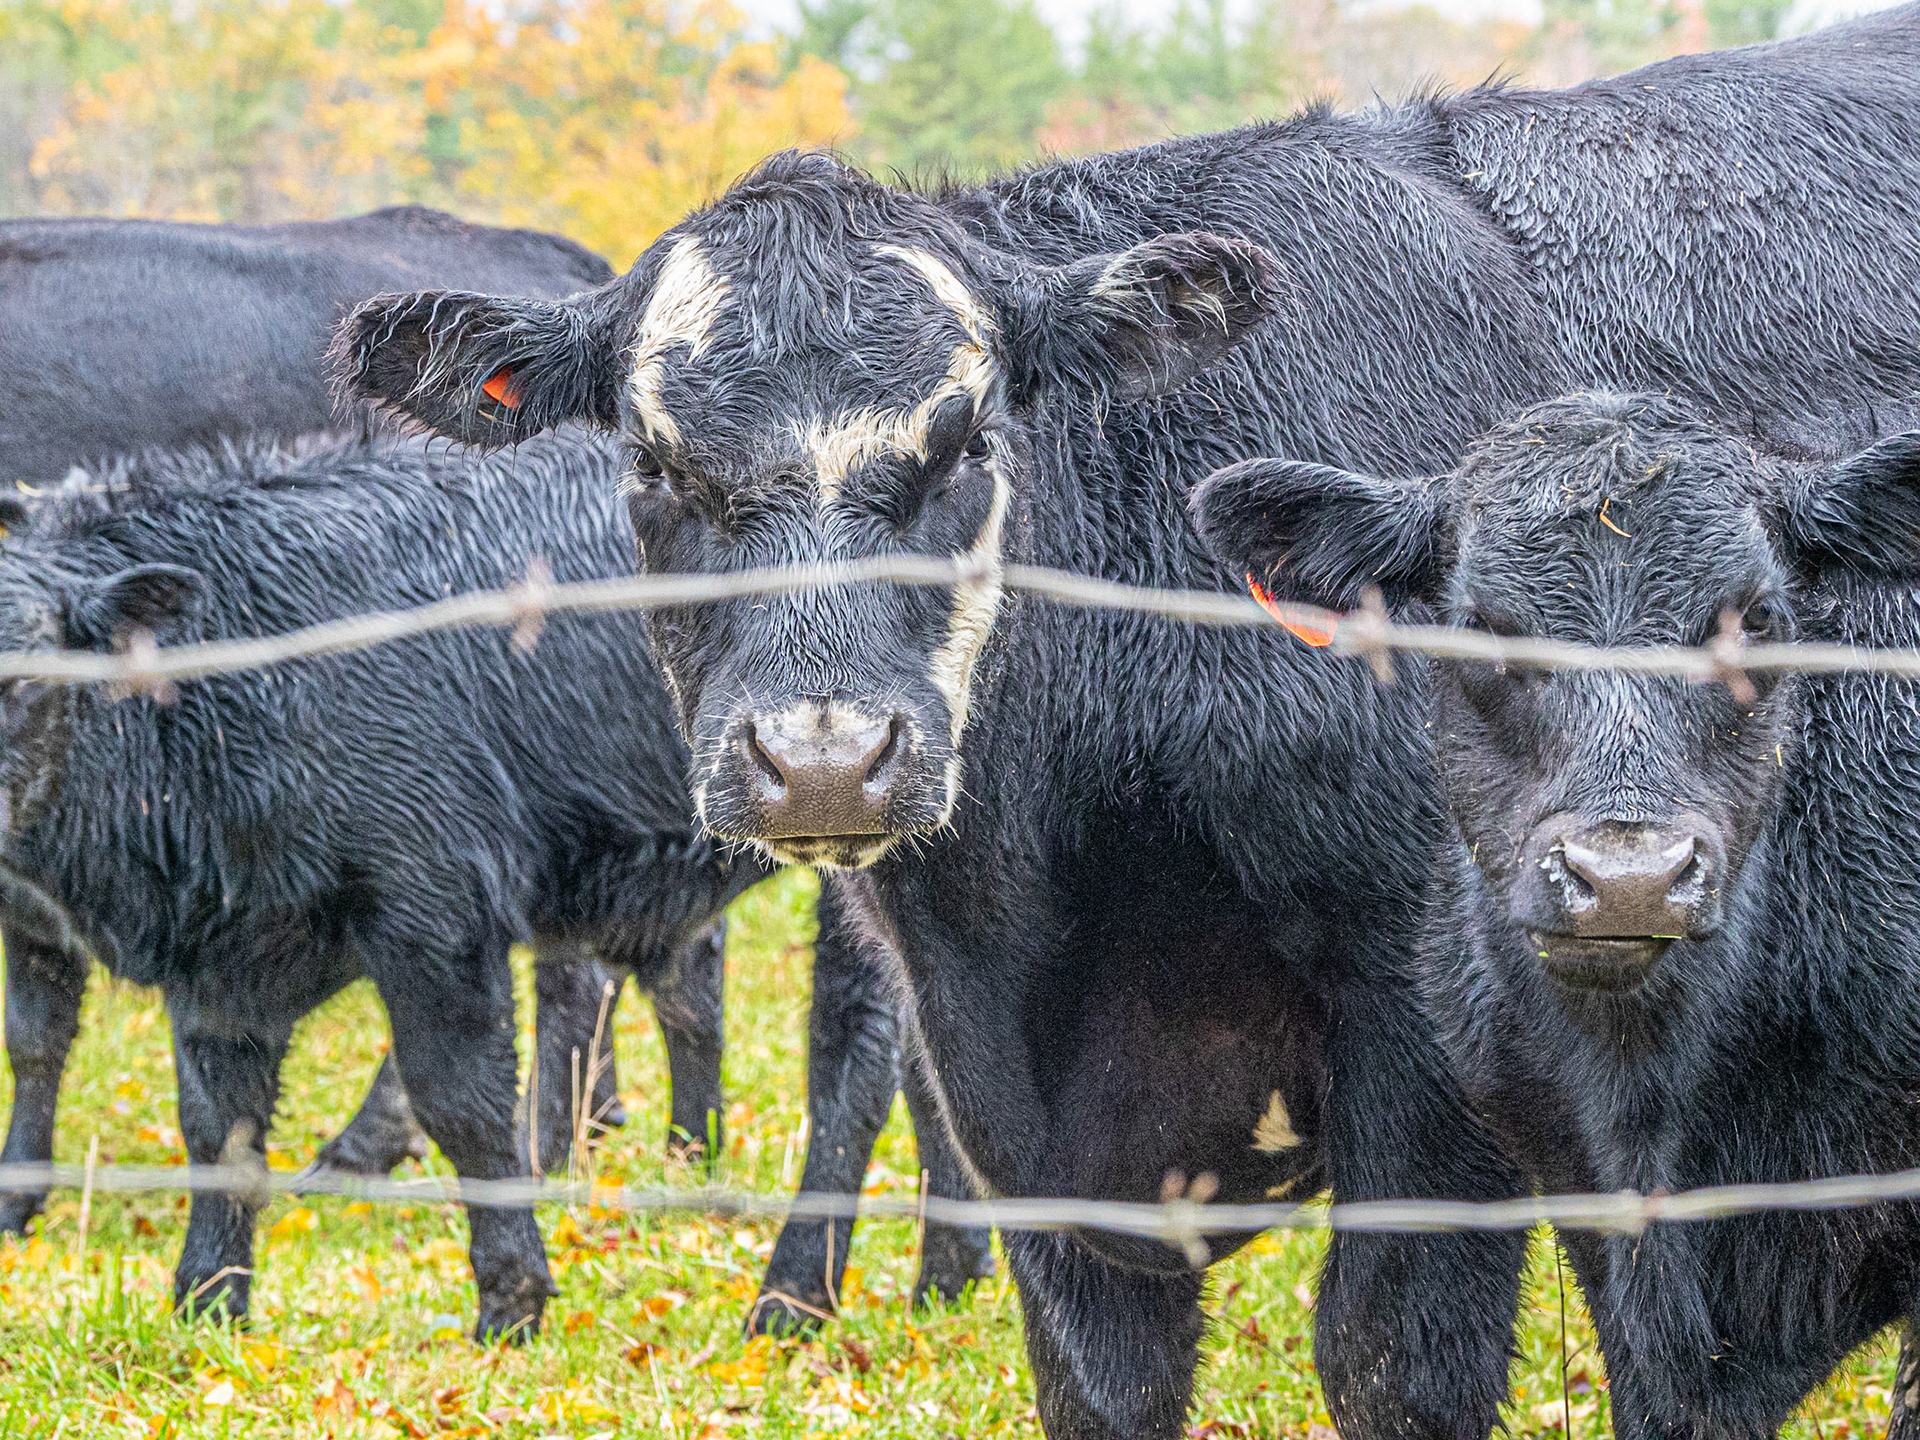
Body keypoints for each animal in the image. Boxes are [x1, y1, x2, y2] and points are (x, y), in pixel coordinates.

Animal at [0, 209, 992, 1328]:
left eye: (30, 675)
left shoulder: (435, 919)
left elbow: (463, 1105)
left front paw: (512, 1298)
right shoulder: (219, 962)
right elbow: (218, 1127)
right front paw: (208, 1299)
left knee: (854, 1057)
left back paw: (793, 1292)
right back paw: (944, 1271)